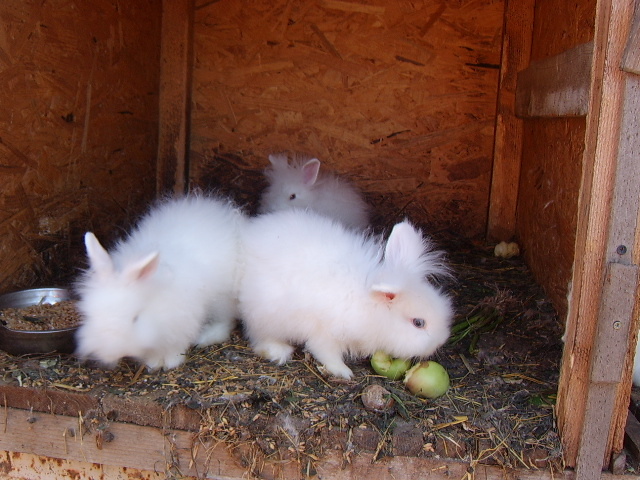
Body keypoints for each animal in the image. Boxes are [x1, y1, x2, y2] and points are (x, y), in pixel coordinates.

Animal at [74, 195, 245, 372]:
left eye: (135, 318)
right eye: (90, 316)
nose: (109, 354)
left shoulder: (181, 321)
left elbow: (175, 346)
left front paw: (170, 362)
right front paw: (154, 362)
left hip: (222, 299)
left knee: (225, 321)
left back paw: (206, 336)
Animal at [238, 210, 452, 378]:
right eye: (419, 323)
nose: (441, 341)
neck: (368, 304)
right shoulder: (325, 333)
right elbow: (326, 353)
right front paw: (343, 372)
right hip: (264, 314)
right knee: (259, 336)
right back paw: (278, 351)